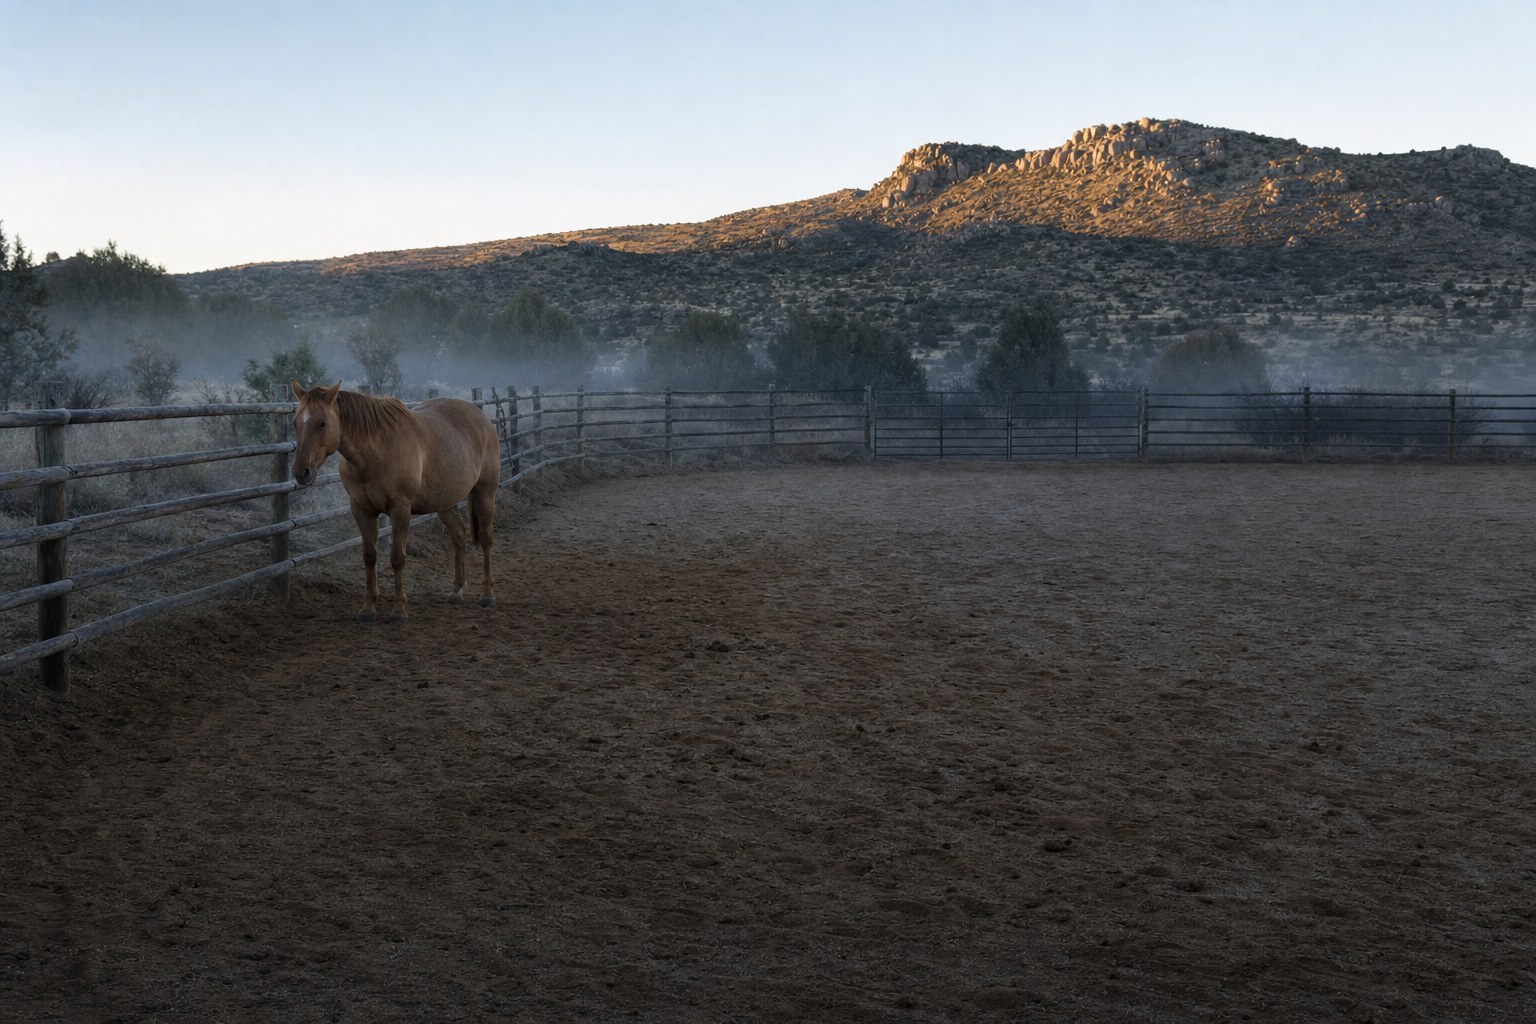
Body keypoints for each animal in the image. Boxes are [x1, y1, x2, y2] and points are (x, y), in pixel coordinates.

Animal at [289, 380, 500, 623]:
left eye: (322, 423)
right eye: (295, 422)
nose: (301, 472)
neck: (375, 452)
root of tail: (481, 416)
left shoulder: (400, 509)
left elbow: (397, 557)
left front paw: (399, 610)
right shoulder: (361, 509)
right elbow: (369, 556)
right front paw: (368, 608)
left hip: (485, 494)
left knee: (486, 539)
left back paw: (488, 594)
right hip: (445, 503)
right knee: (458, 536)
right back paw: (456, 591)